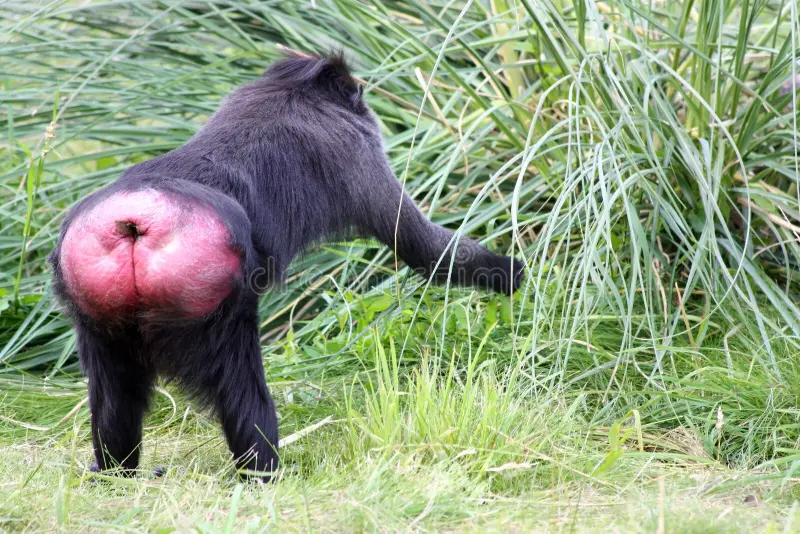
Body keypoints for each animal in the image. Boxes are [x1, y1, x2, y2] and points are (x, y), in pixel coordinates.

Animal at [49, 53, 525, 480]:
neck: (291, 89)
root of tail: (136, 218)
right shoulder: (358, 150)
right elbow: (423, 248)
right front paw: (512, 272)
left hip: (98, 316)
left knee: (116, 395)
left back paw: (115, 472)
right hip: (212, 309)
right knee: (241, 390)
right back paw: (264, 473)